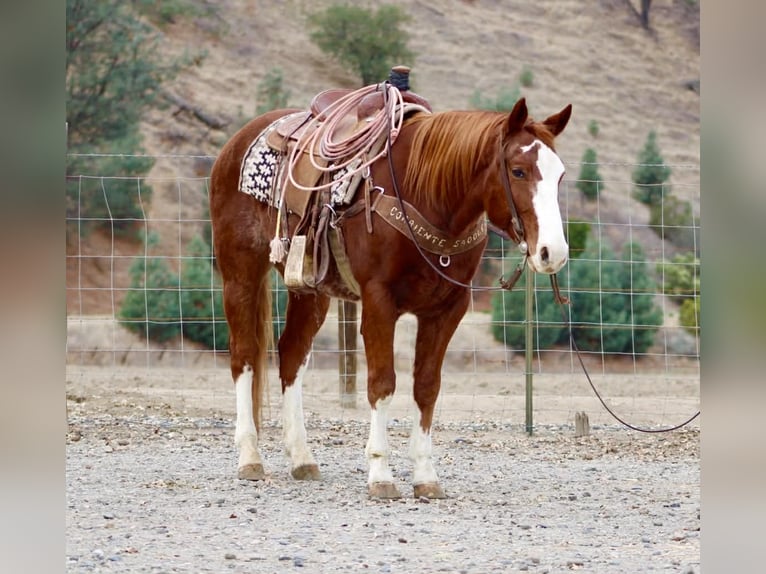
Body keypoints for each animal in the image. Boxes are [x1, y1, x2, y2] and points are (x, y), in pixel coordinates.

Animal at [209, 89, 572, 499]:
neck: (429, 192)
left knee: (291, 355)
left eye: (560, 175)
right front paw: (381, 474)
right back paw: (250, 457)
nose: (554, 252)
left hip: (309, 288)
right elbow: (382, 383)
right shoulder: (379, 303)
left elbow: (426, 387)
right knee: (243, 356)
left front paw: (426, 476)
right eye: (518, 171)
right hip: (240, 273)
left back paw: (302, 458)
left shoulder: (447, 310)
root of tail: (237, 142)